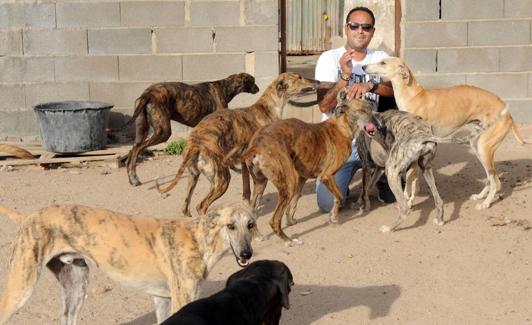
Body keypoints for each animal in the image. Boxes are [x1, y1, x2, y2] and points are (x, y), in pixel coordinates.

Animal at [0, 204, 256, 322]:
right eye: (230, 226)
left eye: (251, 224)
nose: (247, 253)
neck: (199, 238)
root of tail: (29, 217)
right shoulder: (182, 300)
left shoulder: (162, 299)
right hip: (20, 288)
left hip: (75, 288)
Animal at [364, 56, 528, 209]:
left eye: (383, 62)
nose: (364, 66)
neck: (414, 96)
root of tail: (508, 114)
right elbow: (414, 179)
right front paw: (410, 199)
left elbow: (410, 178)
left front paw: (407, 201)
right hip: (477, 146)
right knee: (490, 178)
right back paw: (480, 196)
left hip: (484, 148)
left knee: (496, 182)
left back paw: (485, 203)